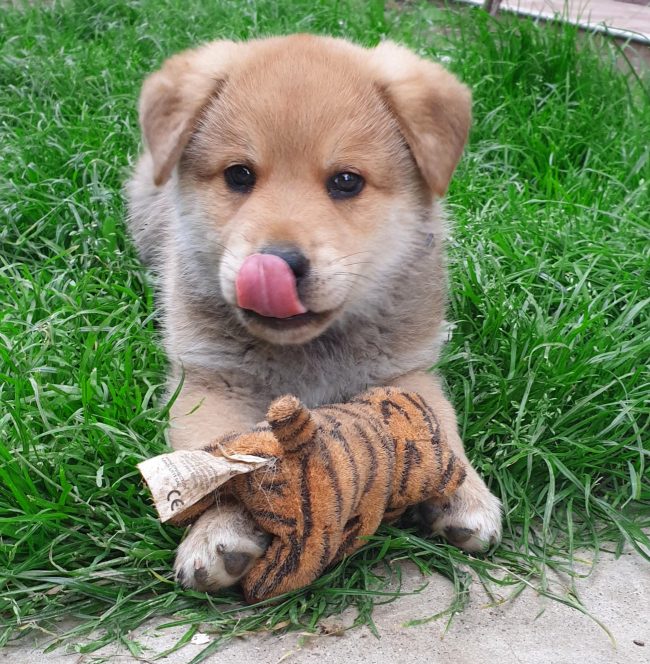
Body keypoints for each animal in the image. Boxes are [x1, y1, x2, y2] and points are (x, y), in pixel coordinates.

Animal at [126, 34, 502, 593]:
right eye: (239, 175)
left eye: (346, 181)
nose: (276, 265)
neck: (307, 352)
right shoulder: (211, 381)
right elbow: (220, 462)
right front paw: (217, 533)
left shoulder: (406, 370)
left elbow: (441, 428)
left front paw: (466, 496)